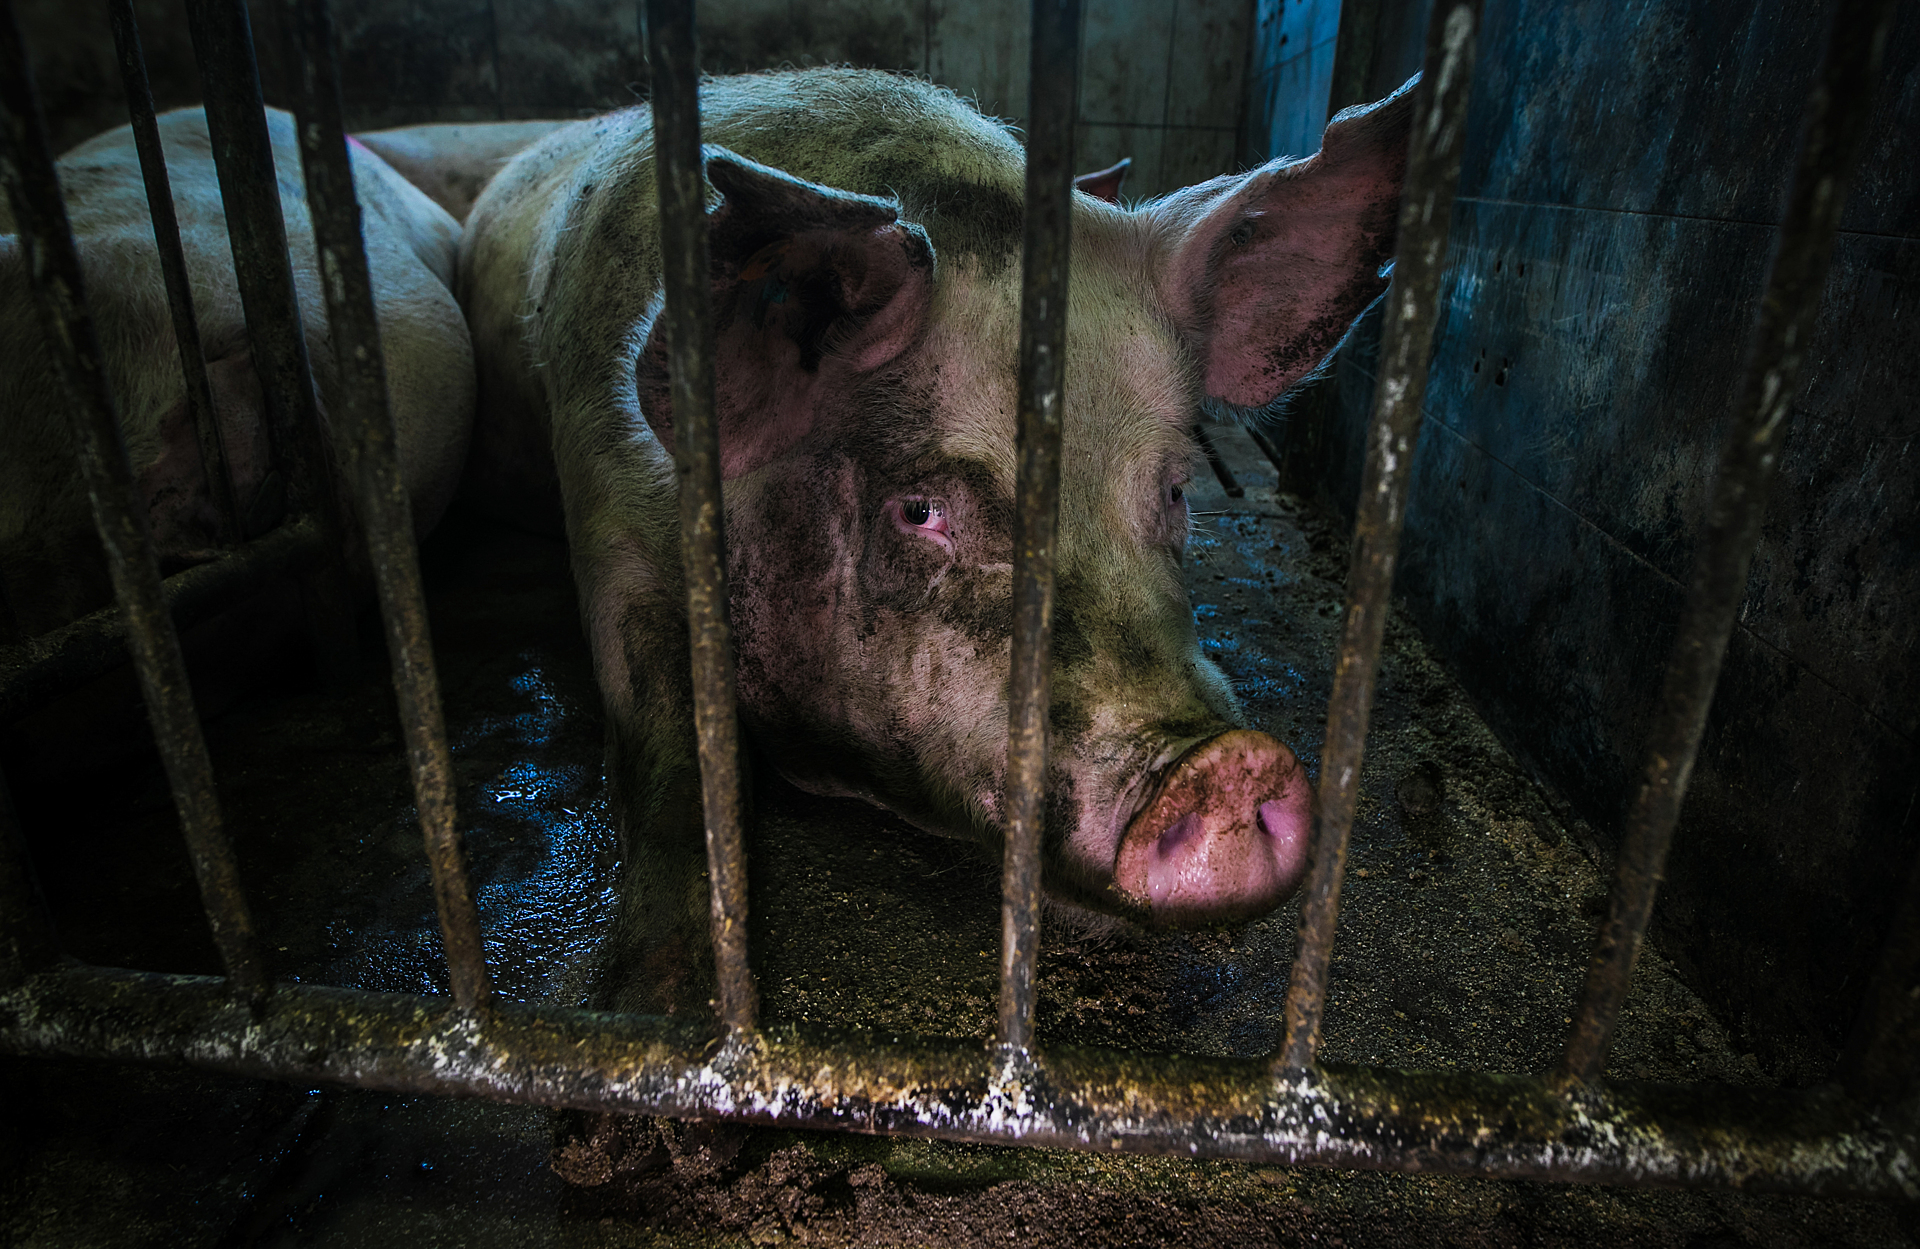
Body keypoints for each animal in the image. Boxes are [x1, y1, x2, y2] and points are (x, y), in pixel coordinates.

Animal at [457, 68, 1414, 1022]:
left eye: (1176, 490)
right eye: (920, 510)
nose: (1227, 764)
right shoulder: (610, 523)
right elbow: (671, 749)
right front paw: (651, 1010)